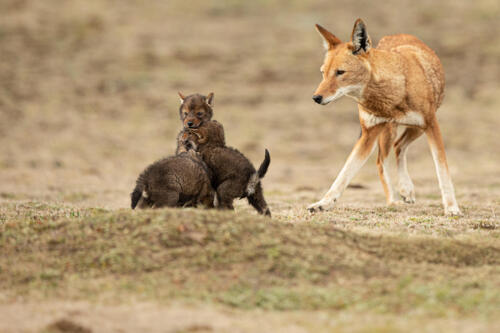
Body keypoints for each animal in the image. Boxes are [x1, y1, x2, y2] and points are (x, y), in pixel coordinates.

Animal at [308, 19, 460, 215]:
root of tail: (397, 34)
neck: (391, 95)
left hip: (415, 129)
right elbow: (343, 174)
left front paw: (451, 207)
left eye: (340, 72)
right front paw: (323, 203)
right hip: (389, 132)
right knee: (384, 158)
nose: (316, 98)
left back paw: (405, 190)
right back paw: (395, 199)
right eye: (323, 73)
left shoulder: (431, 125)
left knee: (398, 147)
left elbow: (442, 169)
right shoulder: (368, 134)